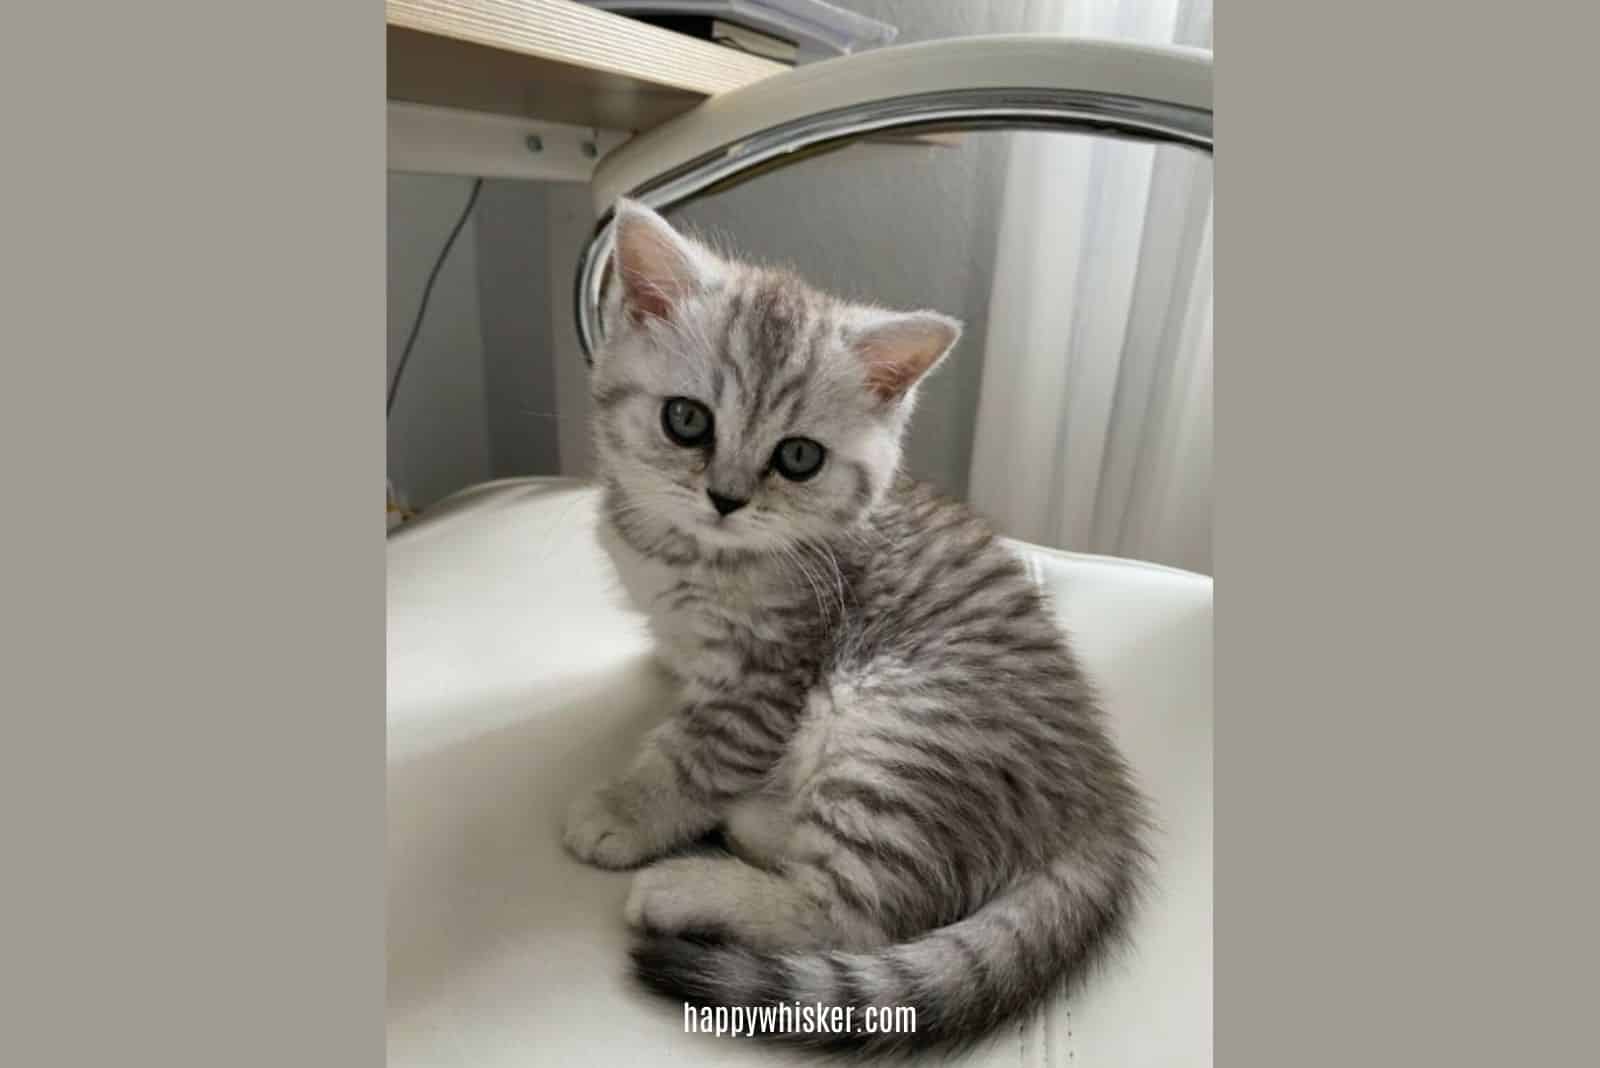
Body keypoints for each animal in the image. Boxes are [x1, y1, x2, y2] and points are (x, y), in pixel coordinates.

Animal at [566, 198, 1152, 1048]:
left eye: (799, 458)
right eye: (686, 420)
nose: (726, 498)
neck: (693, 553)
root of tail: (1100, 798)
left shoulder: (769, 674)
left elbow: (698, 753)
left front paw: (629, 809)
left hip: (892, 731)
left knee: (850, 917)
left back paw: (692, 886)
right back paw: (756, 822)